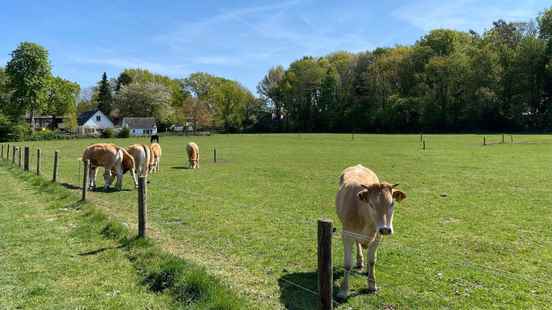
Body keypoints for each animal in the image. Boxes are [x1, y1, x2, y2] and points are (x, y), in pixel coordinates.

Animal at [334, 163, 408, 300]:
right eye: (371, 204)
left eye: (392, 204)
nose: (385, 229)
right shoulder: (347, 234)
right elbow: (347, 264)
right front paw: (343, 290)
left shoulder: (378, 236)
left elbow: (372, 260)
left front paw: (372, 284)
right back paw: (359, 261)